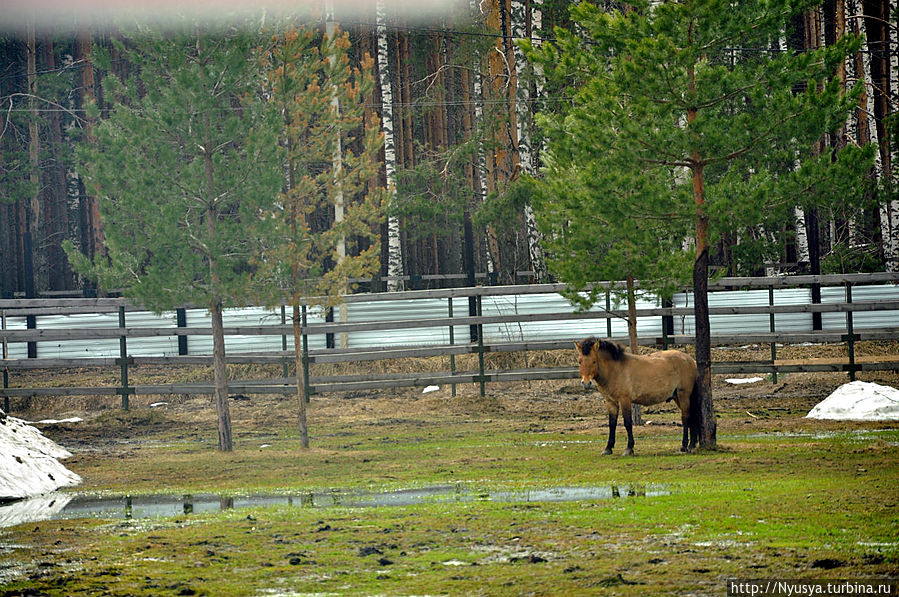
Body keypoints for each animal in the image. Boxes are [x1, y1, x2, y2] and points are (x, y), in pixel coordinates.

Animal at [576, 338, 704, 454]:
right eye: (580, 361)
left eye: (594, 361)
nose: (586, 383)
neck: (615, 370)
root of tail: (691, 360)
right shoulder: (610, 402)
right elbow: (612, 424)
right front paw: (608, 448)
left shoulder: (625, 400)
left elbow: (628, 423)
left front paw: (629, 449)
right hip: (678, 397)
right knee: (691, 417)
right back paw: (692, 445)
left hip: (683, 395)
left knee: (686, 418)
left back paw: (684, 446)